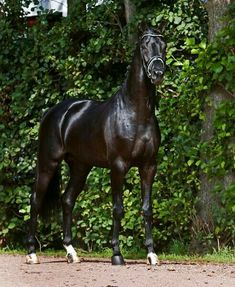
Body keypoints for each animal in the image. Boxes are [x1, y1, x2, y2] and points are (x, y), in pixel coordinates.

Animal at [26, 27, 167, 266]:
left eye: (163, 46)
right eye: (144, 46)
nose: (157, 73)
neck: (135, 114)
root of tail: (53, 112)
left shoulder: (149, 166)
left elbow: (147, 209)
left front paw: (151, 254)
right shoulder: (118, 166)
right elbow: (118, 209)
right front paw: (117, 254)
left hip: (80, 167)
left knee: (67, 200)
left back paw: (72, 253)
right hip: (47, 162)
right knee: (36, 200)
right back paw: (32, 253)